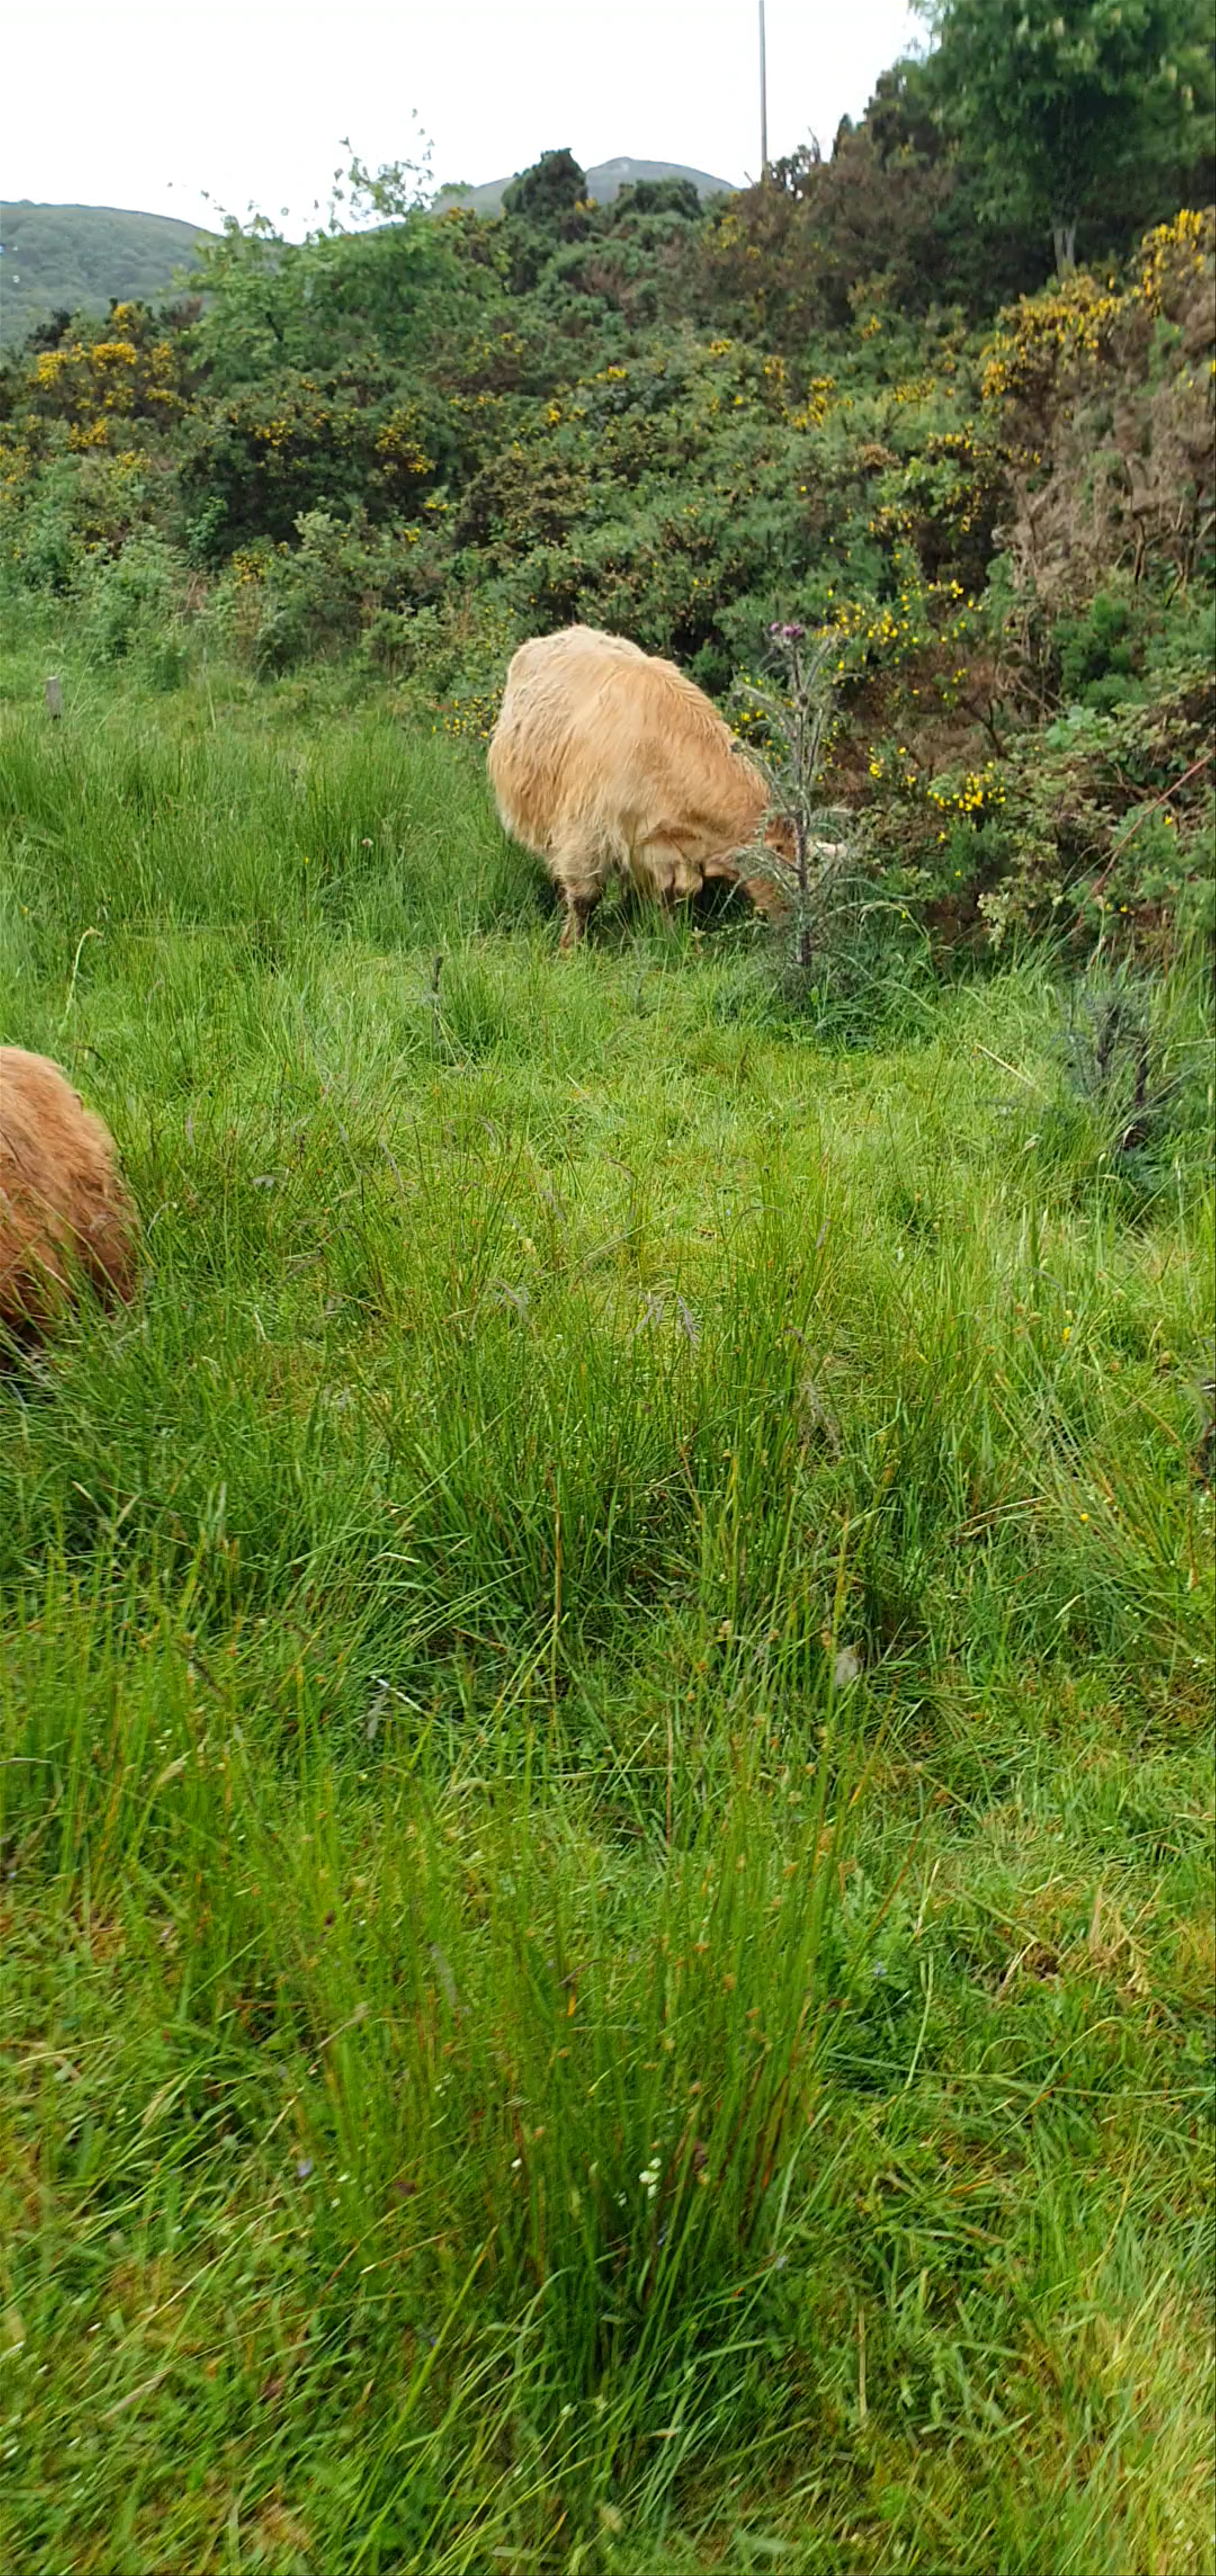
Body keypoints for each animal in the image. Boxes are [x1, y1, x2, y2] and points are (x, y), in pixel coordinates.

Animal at [487, 625, 792, 948]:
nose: (795, 922)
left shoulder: (665, 848)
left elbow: (676, 893)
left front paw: (670, 937)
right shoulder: (585, 833)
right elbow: (584, 896)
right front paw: (571, 946)